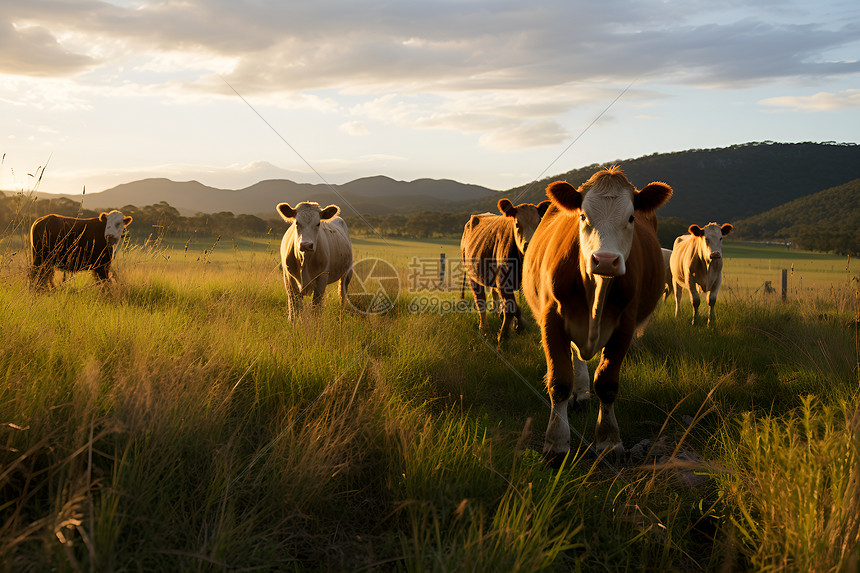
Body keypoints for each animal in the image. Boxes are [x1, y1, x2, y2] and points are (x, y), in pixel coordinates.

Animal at [464, 198, 552, 340]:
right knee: (480, 301)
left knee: (494, 294)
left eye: (539, 222)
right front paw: (505, 334)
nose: (529, 245)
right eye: (517, 223)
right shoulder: (503, 281)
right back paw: (484, 328)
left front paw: (517, 325)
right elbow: (512, 308)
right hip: (473, 276)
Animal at [524, 165, 672, 460]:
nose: (605, 260)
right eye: (583, 216)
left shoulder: (625, 326)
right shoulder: (551, 319)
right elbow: (559, 381)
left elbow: (606, 382)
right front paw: (556, 444)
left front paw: (609, 441)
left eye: (631, 218)